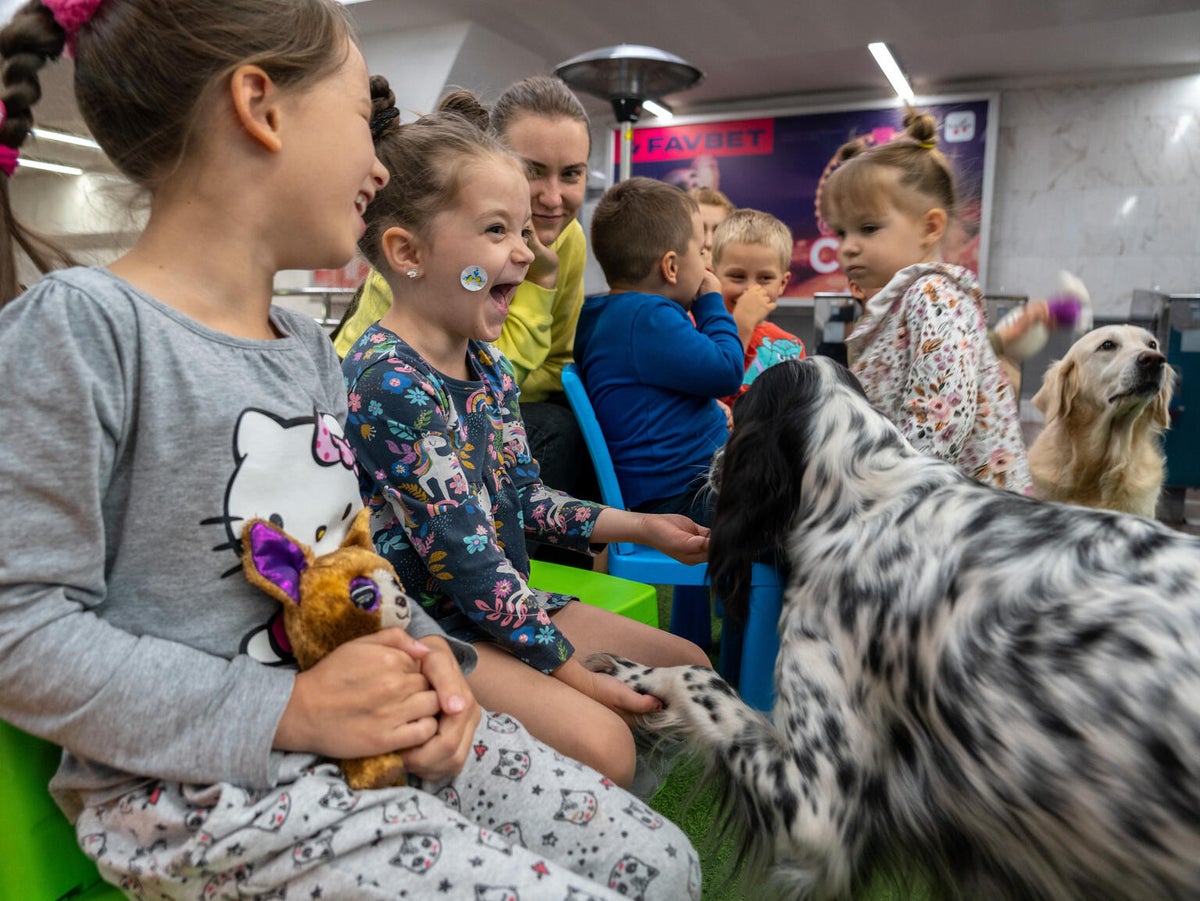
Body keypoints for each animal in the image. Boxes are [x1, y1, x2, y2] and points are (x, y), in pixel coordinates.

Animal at [590, 357, 1200, 901]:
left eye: (737, 414)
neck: (864, 502)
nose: (713, 461)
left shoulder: (819, 807)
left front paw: (635, 673)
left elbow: (699, 677)